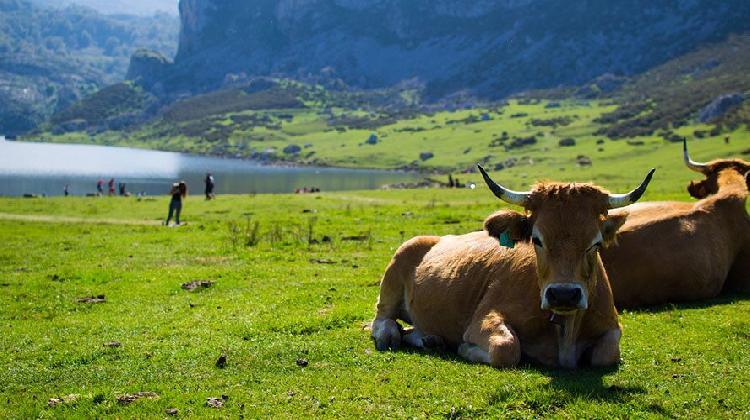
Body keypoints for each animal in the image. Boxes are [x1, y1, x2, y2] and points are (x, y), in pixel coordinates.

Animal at [374, 166, 656, 370]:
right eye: (536, 239)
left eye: (595, 243)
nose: (564, 294)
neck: (565, 331)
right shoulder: (484, 317)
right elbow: (506, 349)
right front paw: (465, 349)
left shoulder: (612, 326)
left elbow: (607, 355)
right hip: (394, 275)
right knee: (382, 319)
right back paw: (393, 334)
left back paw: (428, 338)